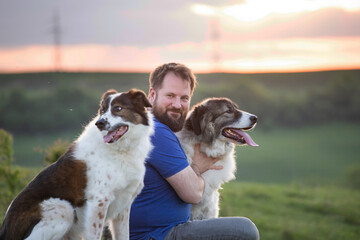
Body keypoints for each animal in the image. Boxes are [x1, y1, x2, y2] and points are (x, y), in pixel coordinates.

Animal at [0, 88, 153, 240]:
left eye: (118, 108)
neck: (121, 150)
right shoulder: (99, 201)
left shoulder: (123, 205)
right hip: (63, 209)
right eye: (102, 110)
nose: (99, 123)